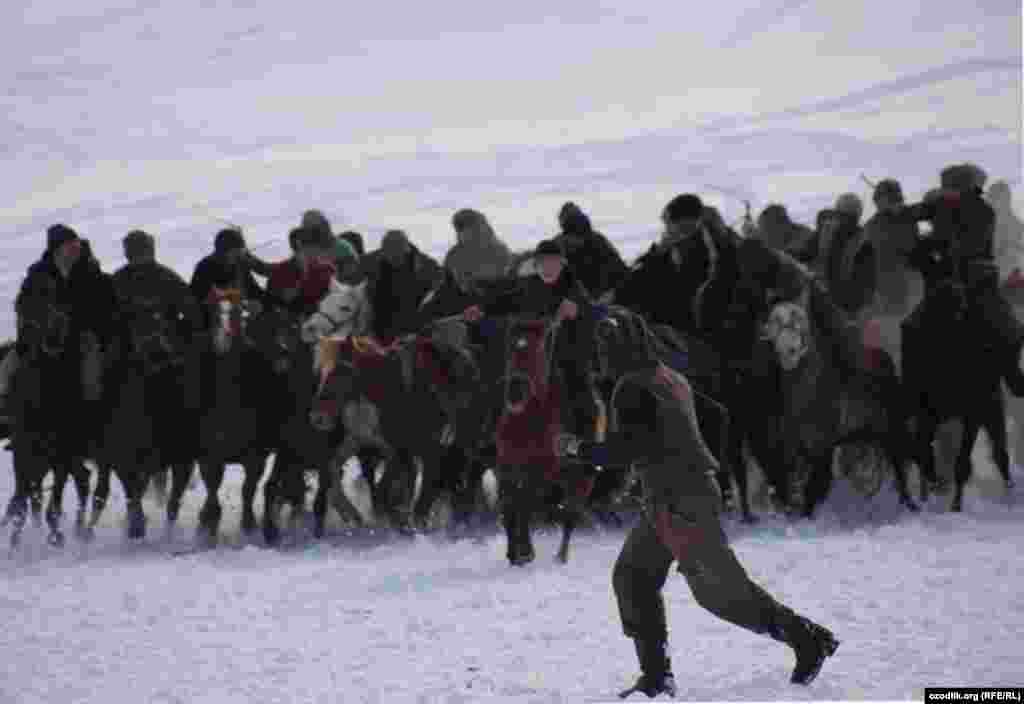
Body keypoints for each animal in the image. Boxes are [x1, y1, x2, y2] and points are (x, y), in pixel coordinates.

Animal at [905, 237, 1015, 511]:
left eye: (949, 262)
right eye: (924, 266)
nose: (951, 292)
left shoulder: (975, 409)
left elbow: (963, 462)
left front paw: (955, 505)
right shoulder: (925, 409)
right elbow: (922, 450)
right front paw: (933, 489)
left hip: (990, 405)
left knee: (1000, 451)